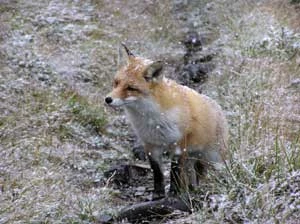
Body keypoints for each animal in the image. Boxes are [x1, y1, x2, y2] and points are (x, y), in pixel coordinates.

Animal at [105, 44, 227, 200]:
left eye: (131, 88)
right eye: (116, 83)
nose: (108, 99)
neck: (152, 119)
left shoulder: (179, 145)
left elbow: (174, 171)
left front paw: (174, 193)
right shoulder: (151, 145)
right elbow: (157, 172)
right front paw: (158, 194)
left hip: (211, 157)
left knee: (203, 172)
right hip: (192, 157)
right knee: (192, 172)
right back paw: (192, 188)